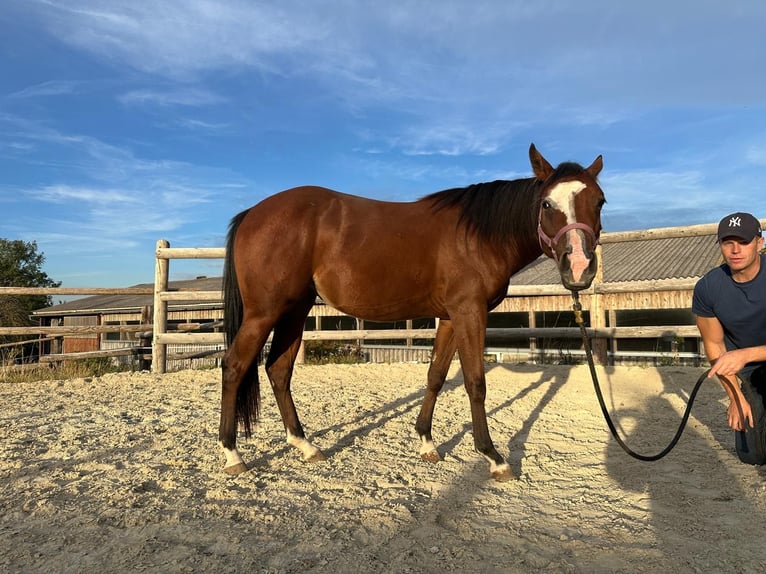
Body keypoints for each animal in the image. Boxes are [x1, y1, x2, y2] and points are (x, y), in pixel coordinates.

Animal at [220, 144, 605, 481]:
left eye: (599, 201)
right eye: (547, 203)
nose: (580, 268)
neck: (478, 235)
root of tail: (252, 213)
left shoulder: (450, 317)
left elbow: (435, 375)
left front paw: (426, 443)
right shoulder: (470, 312)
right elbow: (475, 382)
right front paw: (494, 458)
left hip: (293, 312)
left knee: (278, 370)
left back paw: (305, 446)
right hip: (264, 313)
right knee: (234, 366)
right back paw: (232, 454)